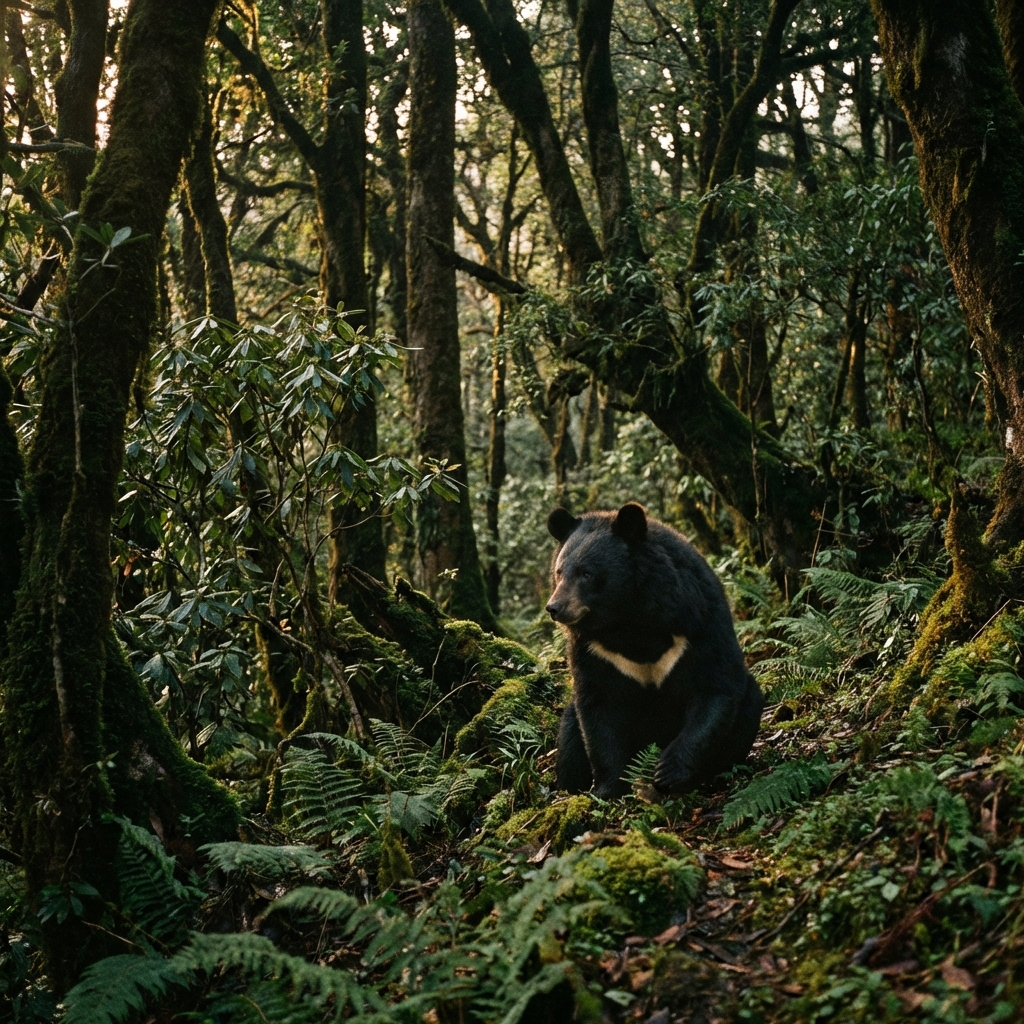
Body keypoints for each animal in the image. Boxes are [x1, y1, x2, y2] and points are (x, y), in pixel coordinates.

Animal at [545, 502, 763, 799]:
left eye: (586, 573)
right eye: (559, 572)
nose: (554, 608)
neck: (627, 617)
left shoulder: (698, 619)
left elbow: (716, 684)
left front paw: (669, 770)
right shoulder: (594, 650)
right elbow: (597, 706)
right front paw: (608, 788)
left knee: (749, 700)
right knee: (569, 735)